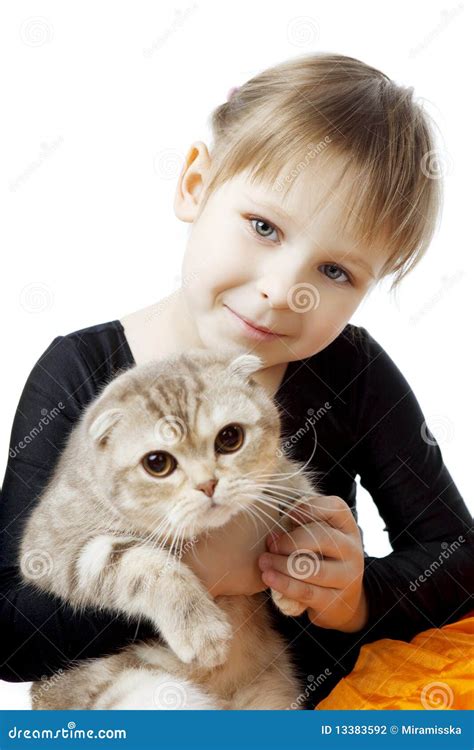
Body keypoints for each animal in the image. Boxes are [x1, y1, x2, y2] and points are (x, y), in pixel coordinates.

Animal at [18, 346, 322, 712]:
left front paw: (296, 576)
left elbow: (305, 507)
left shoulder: (281, 476)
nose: (208, 484)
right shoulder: (55, 545)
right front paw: (201, 630)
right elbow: (146, 563)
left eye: (230, 438)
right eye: (157, 463)